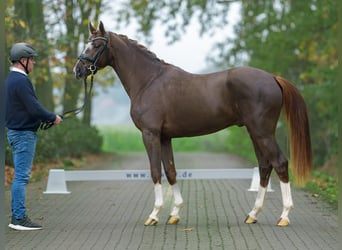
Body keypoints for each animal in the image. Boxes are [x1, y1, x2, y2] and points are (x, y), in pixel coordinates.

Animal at [73, 22, 312, 227]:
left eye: (96, 45)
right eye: (87, 42)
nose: (78, 70)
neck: (149, 80)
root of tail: (272, 78)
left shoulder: (150, 134)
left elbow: (155, 171)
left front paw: (154, 214)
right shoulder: (165, 137)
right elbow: (170, 171)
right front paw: (175, 213)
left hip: (262, 133)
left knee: (280, 163)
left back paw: (284, 216)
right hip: (255, 133)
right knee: (265, 167)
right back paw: (253, 214)